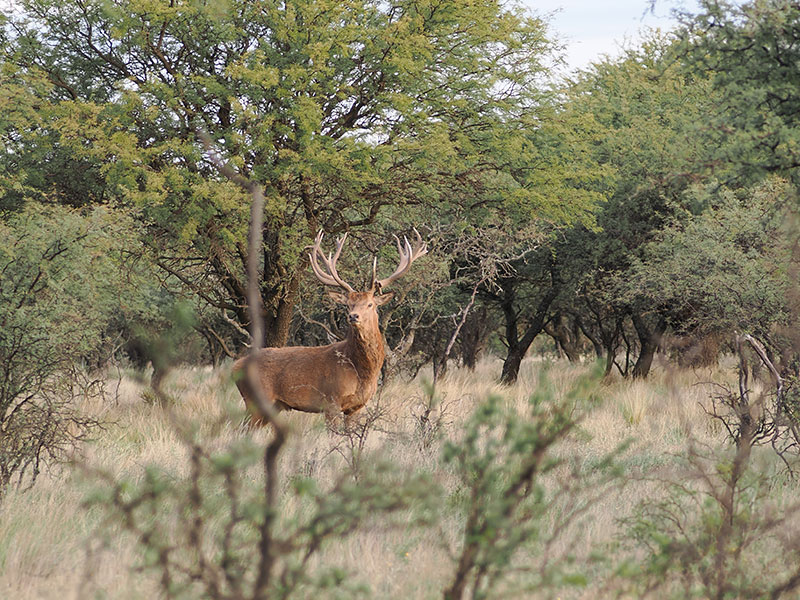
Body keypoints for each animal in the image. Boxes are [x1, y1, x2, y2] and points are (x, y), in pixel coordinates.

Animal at [232, 229, 427, 426]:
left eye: (370, 304)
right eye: (348, 304)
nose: (353, 316)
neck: (361, 372)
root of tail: (235, 367)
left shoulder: (357, 406)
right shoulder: (330, 401)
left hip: (273, 406)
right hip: (255, 401)